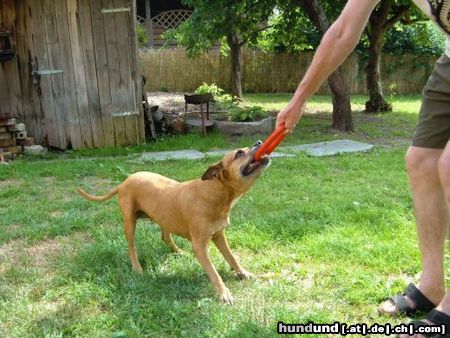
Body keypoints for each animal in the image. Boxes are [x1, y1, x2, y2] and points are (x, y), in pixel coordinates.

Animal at [75, 142, 268, 304]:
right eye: (239, 153)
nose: (259, 142)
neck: (214, 192)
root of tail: (125, 181)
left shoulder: (219, 236)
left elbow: (231, 257)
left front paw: (242, 272)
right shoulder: (200, 246)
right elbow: (214, 273)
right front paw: (223, 293)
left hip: (164, 217)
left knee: (165, 236)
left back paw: (179, 252)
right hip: (129, 223)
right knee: (131, 247)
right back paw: (137, 267)